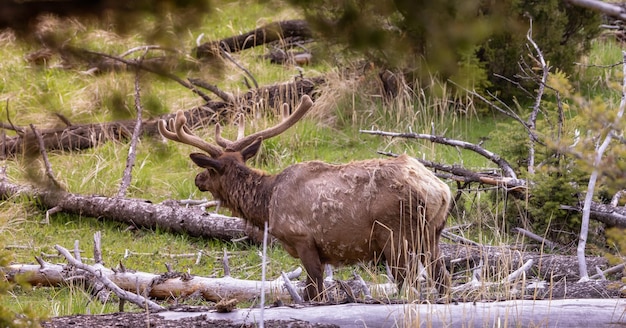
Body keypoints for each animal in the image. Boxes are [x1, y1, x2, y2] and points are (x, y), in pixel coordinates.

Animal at [156, 95, 448, 300]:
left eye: (208, 169)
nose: (198, 179)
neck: (267, 205)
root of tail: (440, 191)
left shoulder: (303, 239)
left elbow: (316, 293)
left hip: (396, 235)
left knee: (409, 282)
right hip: (431, 235)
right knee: (442, 279)